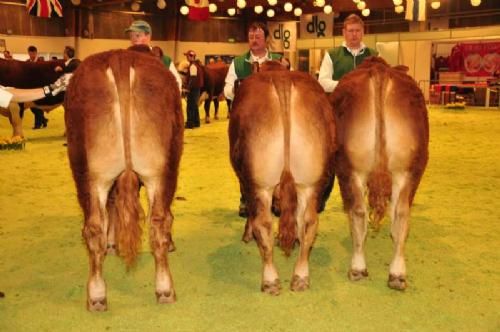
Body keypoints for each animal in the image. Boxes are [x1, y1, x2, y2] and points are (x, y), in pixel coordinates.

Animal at [65, 49, 184, 312]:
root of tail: (120, 57)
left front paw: (112, 244)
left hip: (89, 172)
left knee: (96, 226)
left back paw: (97, 295)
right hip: (159, 170)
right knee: (158, 221)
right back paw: (163, 289)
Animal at [229, 68, 336, 294]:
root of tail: (282, 79)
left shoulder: (245, 181)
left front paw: (246, 234)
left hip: (260, 184)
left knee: (263, 224)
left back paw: (270, 280)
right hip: (309, 183)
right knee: (308, 222)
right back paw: (301, 277)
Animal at [328, 57, 430, 290]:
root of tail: (379, 71)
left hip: (360, 169)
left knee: (367, 212)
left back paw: (372, 270)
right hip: (403, 169)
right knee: (393, 212)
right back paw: (385, 272)